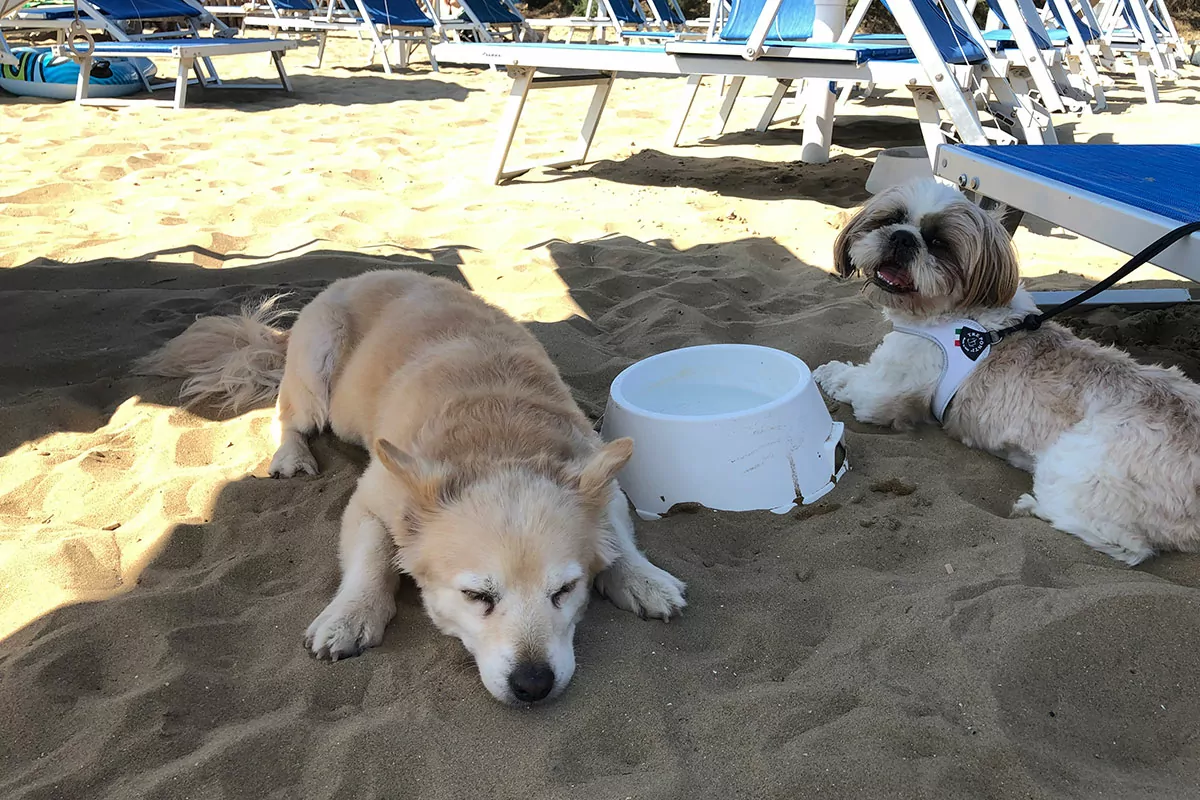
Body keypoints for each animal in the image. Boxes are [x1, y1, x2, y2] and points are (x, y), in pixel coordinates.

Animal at [140, 271, 686, 705]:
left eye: (565, 591)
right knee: (289, 417)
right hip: (315, 366)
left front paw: (644, 579)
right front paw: (351, 616)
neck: (498, 439)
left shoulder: (602, 483)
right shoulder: (369, 500)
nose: (534, 685)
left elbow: (617, 538)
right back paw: (292, 457)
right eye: (476, 595)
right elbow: (374, 558)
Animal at [811, 179, 1200, 568]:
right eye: (892, 219)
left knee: (1126, 545)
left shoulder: (886, 388)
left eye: (939, 243)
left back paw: (1034, 507)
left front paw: (827, 373)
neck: (958, 315)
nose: (903, 238)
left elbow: (853, 384)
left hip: (1083, 470)